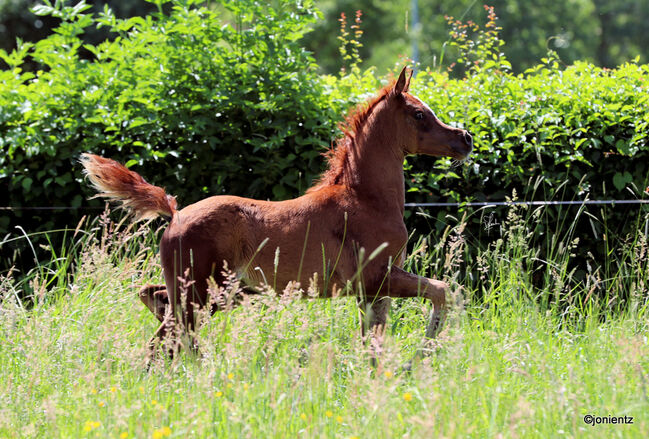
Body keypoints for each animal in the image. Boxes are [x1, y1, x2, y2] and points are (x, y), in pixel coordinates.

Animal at [79, 67, 470, 356]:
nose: (464, 138)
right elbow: (443, 290)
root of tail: (174, 213)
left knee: (157, 304)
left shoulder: (373, 291)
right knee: (164, 338)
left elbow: (373, 341)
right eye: (419, 114)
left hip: (212, 293)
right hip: (200, 292)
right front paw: (423, 352)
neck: (366, 199)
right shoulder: (376, 277)